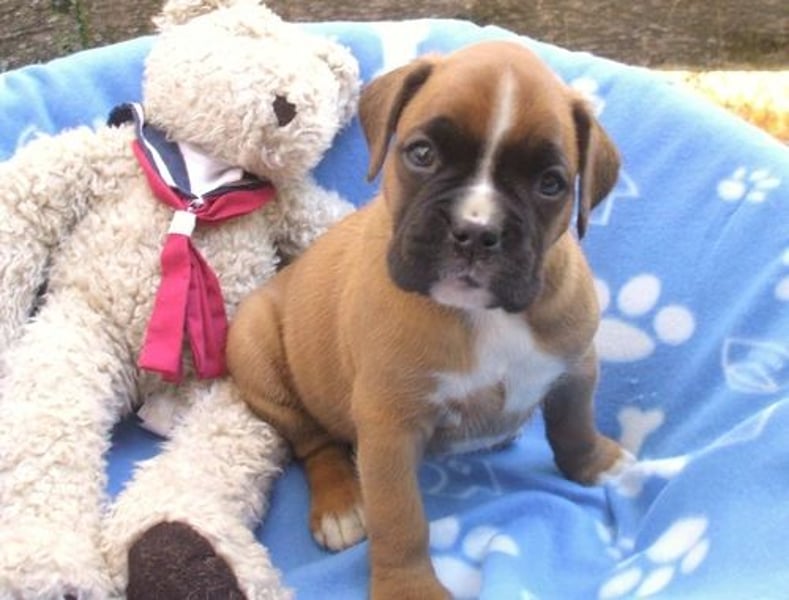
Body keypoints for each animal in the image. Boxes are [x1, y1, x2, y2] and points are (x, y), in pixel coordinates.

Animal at [227, 40, 631, 599]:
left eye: (551, 184)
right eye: (422, 154)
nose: (476, 231)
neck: (483, 316)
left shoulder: (575, 366)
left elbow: (574, 423)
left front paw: (595, 464)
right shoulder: (389, 427)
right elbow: (400, 517)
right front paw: (408, 586)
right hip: (258, 352)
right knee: (314, 442)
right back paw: (340, 504)